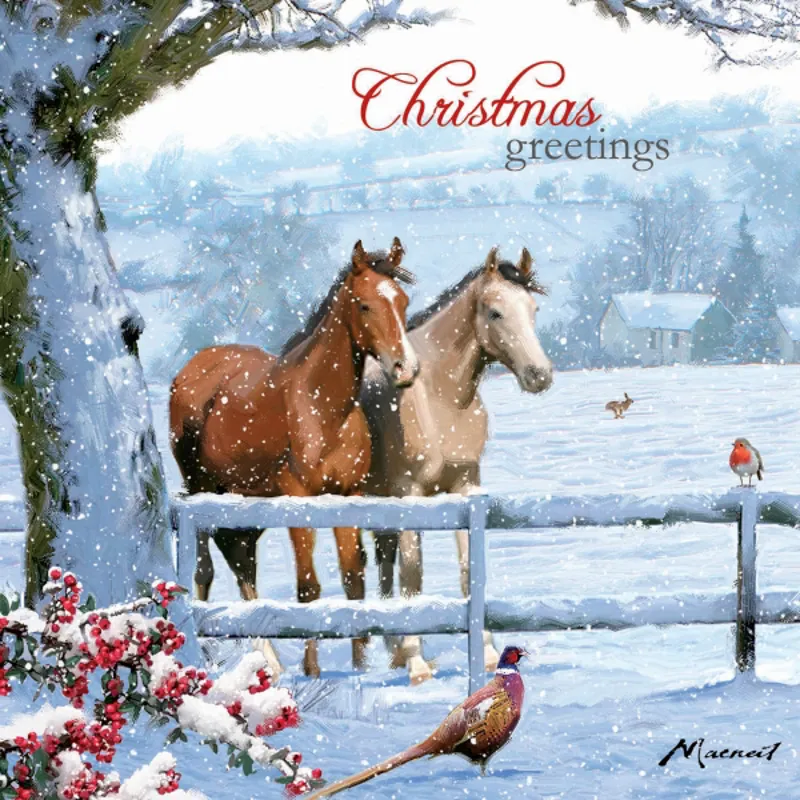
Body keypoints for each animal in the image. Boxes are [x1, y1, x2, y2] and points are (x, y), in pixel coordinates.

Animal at [169, 238, 419, 678]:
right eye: (365, 305)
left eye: (402, 301)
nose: (405, 367)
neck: (321, 408)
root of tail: (192, 369)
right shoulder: (299, 497)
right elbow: (308, 589)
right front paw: (313, 671)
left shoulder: (347, 495)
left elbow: (353, 579)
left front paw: (360, 668)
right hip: (202, 491)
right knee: (206, 569)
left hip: (247, 502)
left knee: (242, 562)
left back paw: (268, 661)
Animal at [361, 246, 552, 684]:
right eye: (495, 312)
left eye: (533, 309)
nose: (540, 375)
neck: (438, 397)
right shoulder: (410, 493)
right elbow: (413, 574)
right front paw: (417, 665)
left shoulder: (467, 486)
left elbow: (469, 570)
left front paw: (488, 654)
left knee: (383, 558)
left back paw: (393, 651)